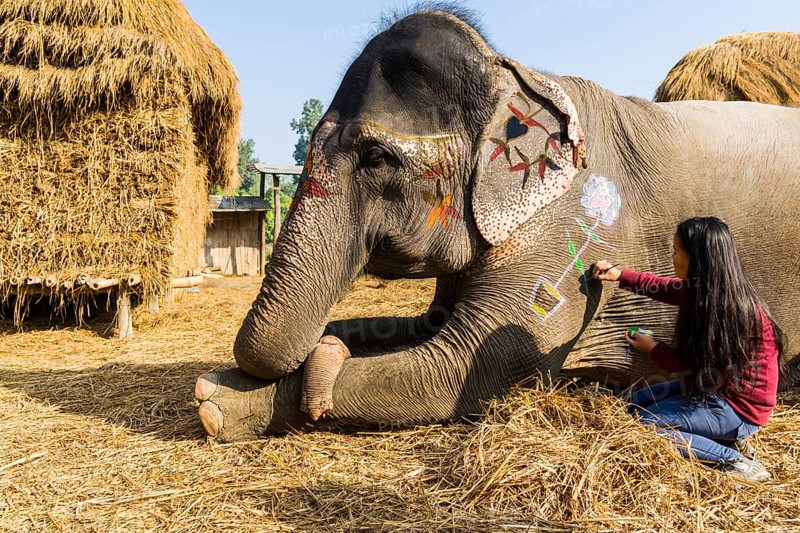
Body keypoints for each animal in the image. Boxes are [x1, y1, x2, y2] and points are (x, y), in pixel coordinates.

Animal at [194, 8, 800, 442]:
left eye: (376, 158)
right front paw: (318, 350)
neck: (517, 72)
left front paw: (213, 402)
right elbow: (422, 327)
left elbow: (453, 370)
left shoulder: (563, 240)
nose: (318, 352)